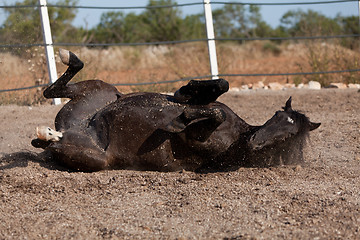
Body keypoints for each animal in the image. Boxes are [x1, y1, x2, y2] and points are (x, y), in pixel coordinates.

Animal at [32, 49, 320, 172]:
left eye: (287, 137)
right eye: (277, 115)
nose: (255, 141)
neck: (238, 134)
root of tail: (70, 129)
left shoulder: (195, 140)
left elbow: (202, 117)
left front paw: (180, 119)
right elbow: (219, 88)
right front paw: (186, 91)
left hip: (93, 158)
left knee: (52, 140)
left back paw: (46, 135)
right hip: (102, 90)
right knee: (54, 91)